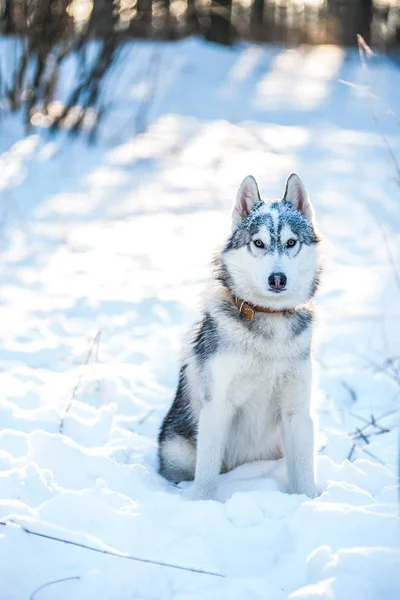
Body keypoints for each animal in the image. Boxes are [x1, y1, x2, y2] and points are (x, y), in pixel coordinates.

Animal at [158, 175, 320, 502]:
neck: (269, 320)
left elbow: (303, 473)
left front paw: (310, 502)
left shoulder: (297, 412)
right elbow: (206, 475)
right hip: (178, 450)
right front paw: (202, 504)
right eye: (258, 243)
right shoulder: (217, 407)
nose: (277, 279)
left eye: (291, 242)